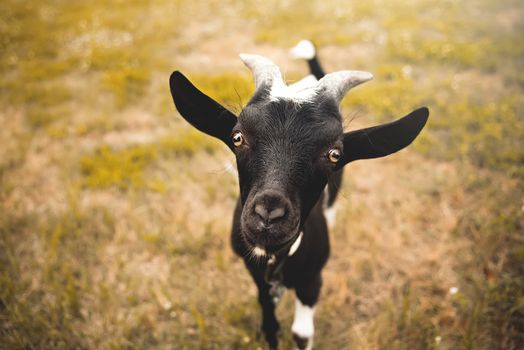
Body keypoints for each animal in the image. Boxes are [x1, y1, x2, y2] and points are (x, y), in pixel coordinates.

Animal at [170, 52, 428, 350]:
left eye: (334, 154)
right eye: (237, 137)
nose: (268, 214)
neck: (277, 260)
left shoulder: (312, 280)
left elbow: (301, 334)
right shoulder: (257, 276)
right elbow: (269, 321)